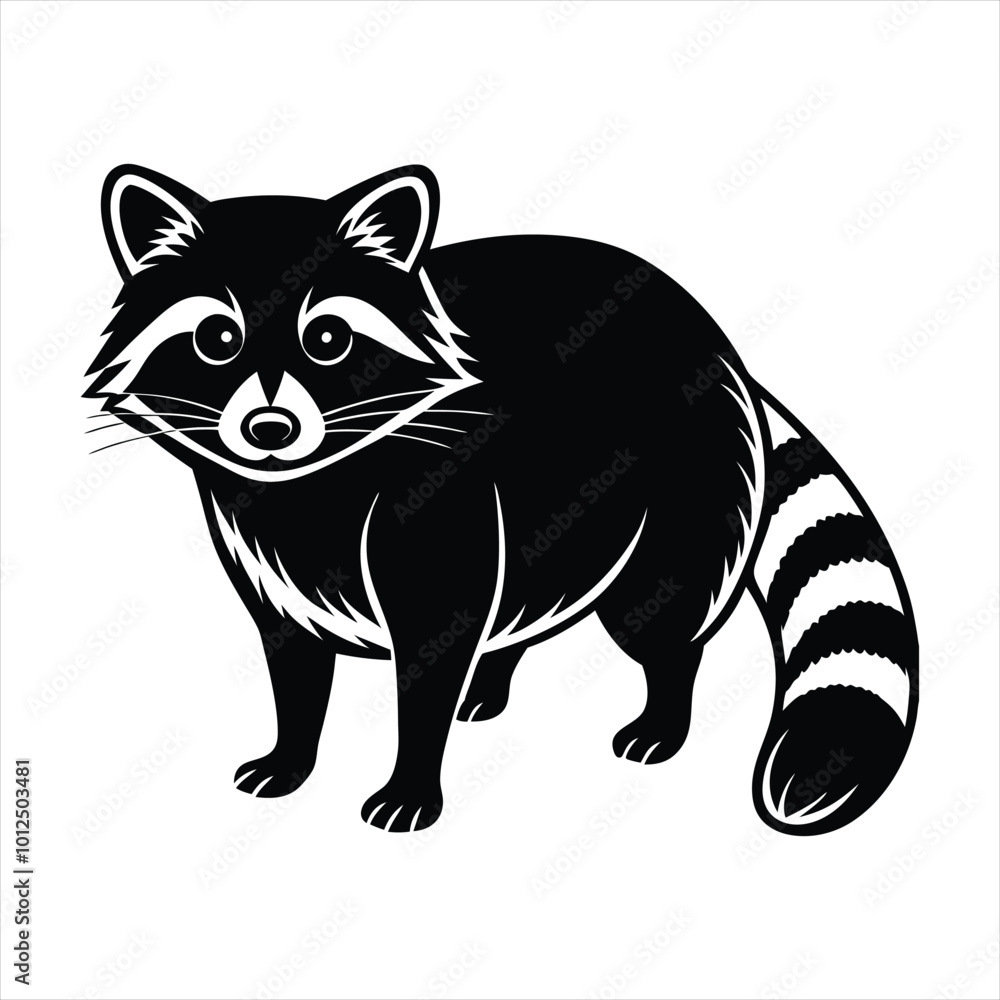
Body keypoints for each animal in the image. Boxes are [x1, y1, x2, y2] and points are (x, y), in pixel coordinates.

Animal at [85, 164, 918, 835]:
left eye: (326, 340)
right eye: (216, 340)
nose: (269, 429)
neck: (313, 483)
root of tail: (717, 340)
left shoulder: (437, 498)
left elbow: (432, 648)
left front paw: (410, 781)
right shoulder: (264, 549)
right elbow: (294, 660)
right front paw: (292, 753)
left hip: (676, 488)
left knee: (658, 613)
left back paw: (662, 709)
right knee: (523, 585)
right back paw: (492, 675)